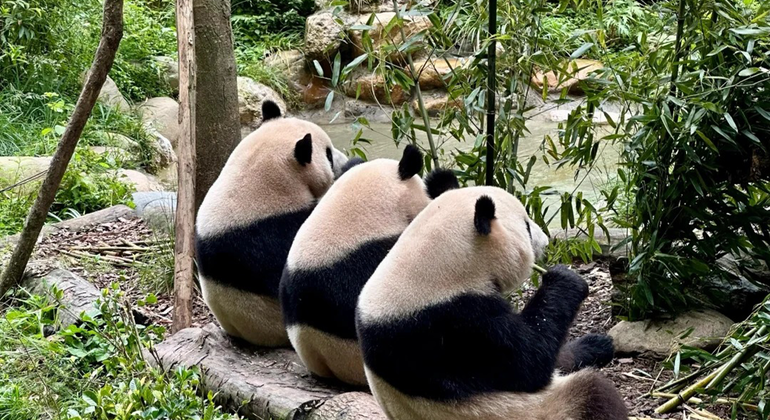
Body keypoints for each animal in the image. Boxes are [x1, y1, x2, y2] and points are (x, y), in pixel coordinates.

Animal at [356, 186, 628, 420]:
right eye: (527, 226)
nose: (547, 241)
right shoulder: (456, 325)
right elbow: (530, 361)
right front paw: (566, 279)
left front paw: (595, 344)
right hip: (535, 410)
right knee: (594, 394)